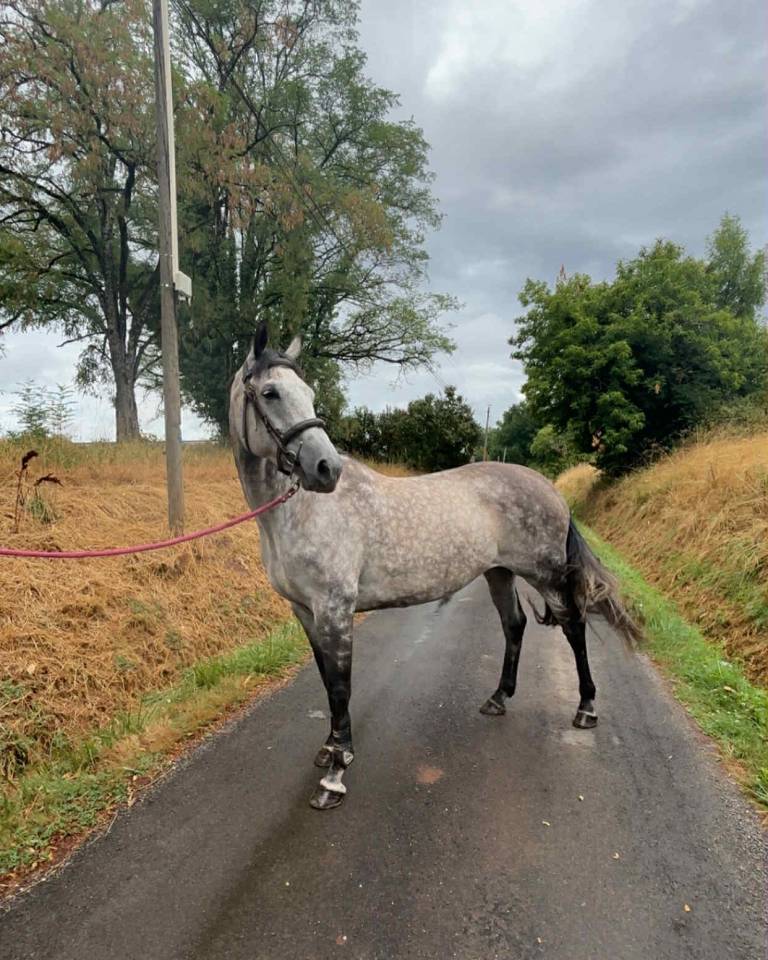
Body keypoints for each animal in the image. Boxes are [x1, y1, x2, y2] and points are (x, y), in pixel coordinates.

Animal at [230, 326, 640, 810]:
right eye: (270, 393)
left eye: (309, 393)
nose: (325, 469)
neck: (302, 513)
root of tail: (552, 490)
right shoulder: (305, 613)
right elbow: (327, 679)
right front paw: (330, 749)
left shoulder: (335, 609)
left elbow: (341, 685)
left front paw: (335, 774)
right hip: (498, 572)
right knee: (515, 625)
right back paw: (498, 698)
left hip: (546, 574)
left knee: (573, 627)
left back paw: (586, 709)